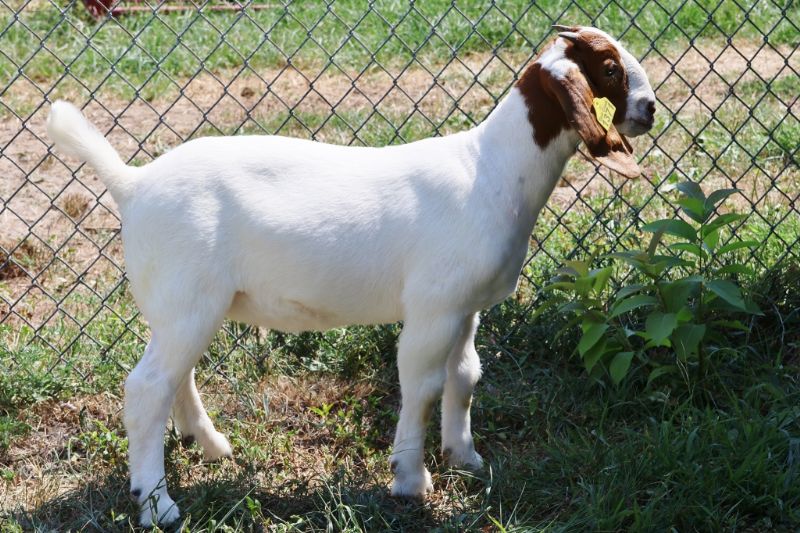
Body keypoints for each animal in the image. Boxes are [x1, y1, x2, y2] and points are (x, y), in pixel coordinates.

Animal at [46, 25, 656, 526]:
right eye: (608, 68)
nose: (650, 110)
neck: (492, 170)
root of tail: (133, 184)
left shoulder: (465, 306)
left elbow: (465, 376)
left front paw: (466, 458)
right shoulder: (433, 308)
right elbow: (422, 384)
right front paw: (411, 480)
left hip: (184, 302)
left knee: (175, 375)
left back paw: (210, 445)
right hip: (187, 294)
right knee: (147, 387)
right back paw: (156, 504)